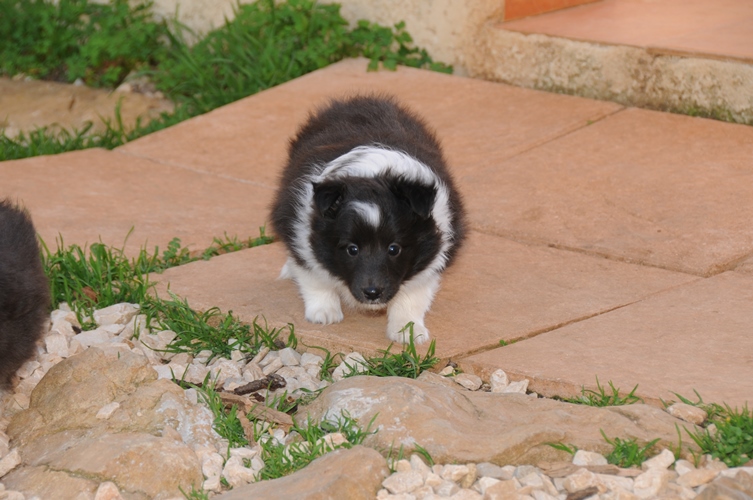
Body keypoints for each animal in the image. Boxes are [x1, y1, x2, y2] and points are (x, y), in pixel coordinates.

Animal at [270, 94, 464, 344]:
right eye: (352, 249)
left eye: (394, 249)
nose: (372, 293)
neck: (372, 174)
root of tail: (357, 99)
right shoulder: (300, 228)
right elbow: (312, 275)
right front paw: (324, 312)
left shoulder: (432, 252)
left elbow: (413, 294)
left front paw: (407, 330)